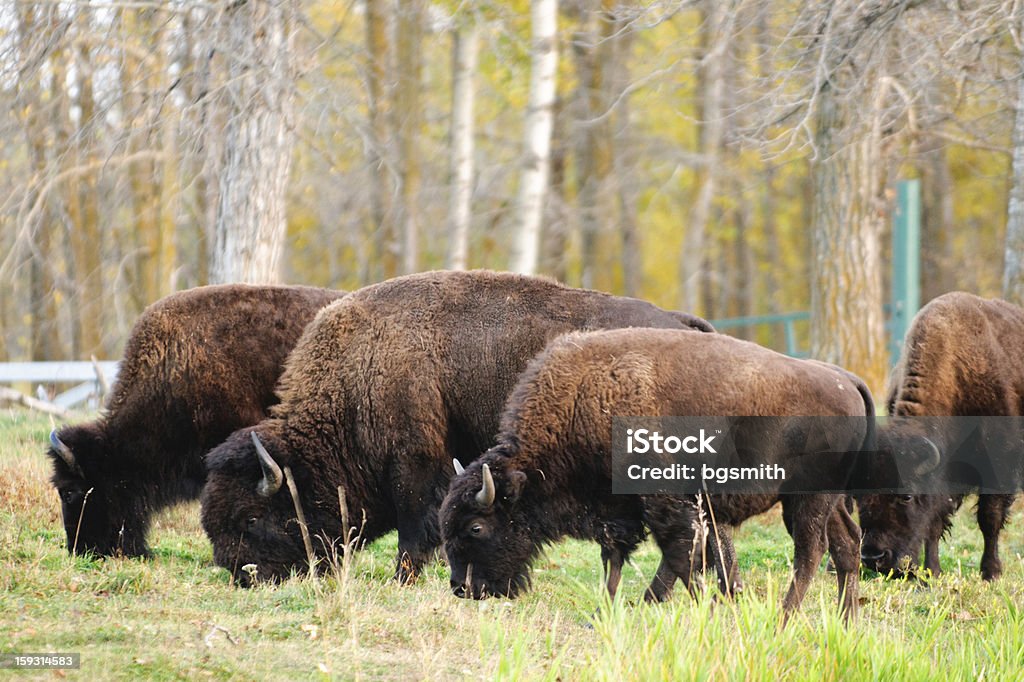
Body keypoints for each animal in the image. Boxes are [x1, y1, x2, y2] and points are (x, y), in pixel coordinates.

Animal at [195, 268, 716, 585]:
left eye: (252, 518)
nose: (242, 575)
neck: (361, 369)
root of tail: (685, 325)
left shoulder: (414, 463)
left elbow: (413, 528)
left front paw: (405, 578)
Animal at [438, 327, 872, 618]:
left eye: (476, 527)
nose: (463, 588)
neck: (584, 399)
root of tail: (845, 380)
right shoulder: (621, 511)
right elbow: (617, 559)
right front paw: (607, 611)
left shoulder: (667, 504)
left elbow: (682, 558)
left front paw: (697, 609)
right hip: (828, 501)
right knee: (847, 543)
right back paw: (845, 619)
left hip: (807, 500)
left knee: (810, 551)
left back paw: (786, 617)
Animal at [856, 292, 1024, 577]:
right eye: (859, 497)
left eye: (906, 495)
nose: (873, 557)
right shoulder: (944, 478)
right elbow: (934, 523)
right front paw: (931, 571)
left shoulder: (998, 468)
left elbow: (989, 519)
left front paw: (991, 572)